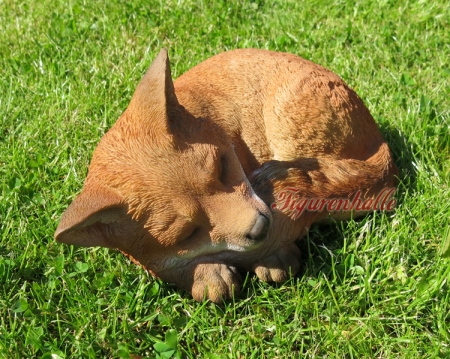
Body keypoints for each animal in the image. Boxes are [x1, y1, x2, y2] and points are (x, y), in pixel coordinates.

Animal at [54, 49, 396, 302]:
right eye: (187, 233)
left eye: (221, 168)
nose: (259, 227)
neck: (207, 114)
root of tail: (381, 147)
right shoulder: (145, 258)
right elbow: (168, 267)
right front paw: (207, 275)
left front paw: (274, 257)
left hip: (290, 126)